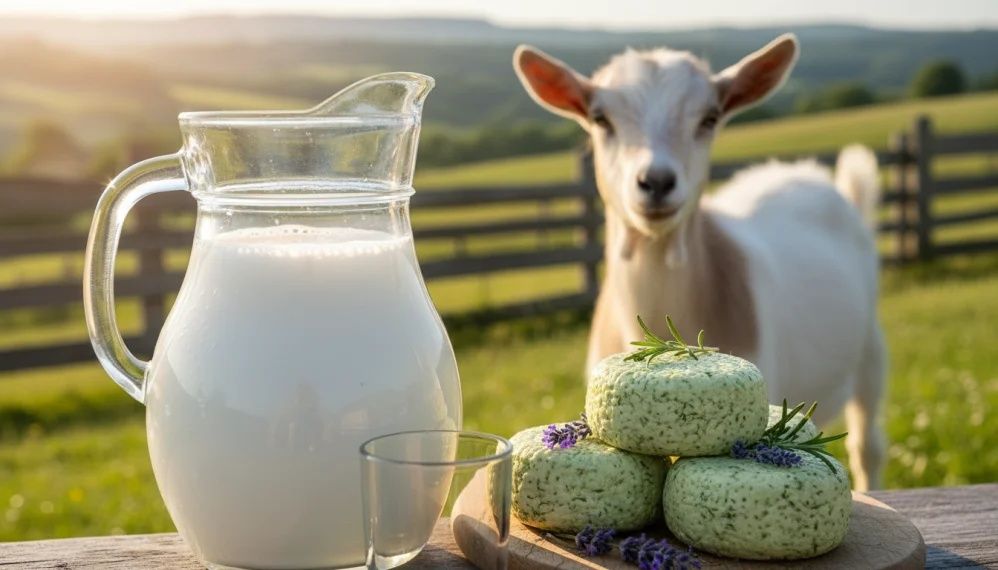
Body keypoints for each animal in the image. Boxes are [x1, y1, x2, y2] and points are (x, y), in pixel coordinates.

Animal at [513, 35, 886, 490]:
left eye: (710, 118)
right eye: (600, 119)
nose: (656, 182)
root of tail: (816, 177)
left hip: (870, 344)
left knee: (867, 444)